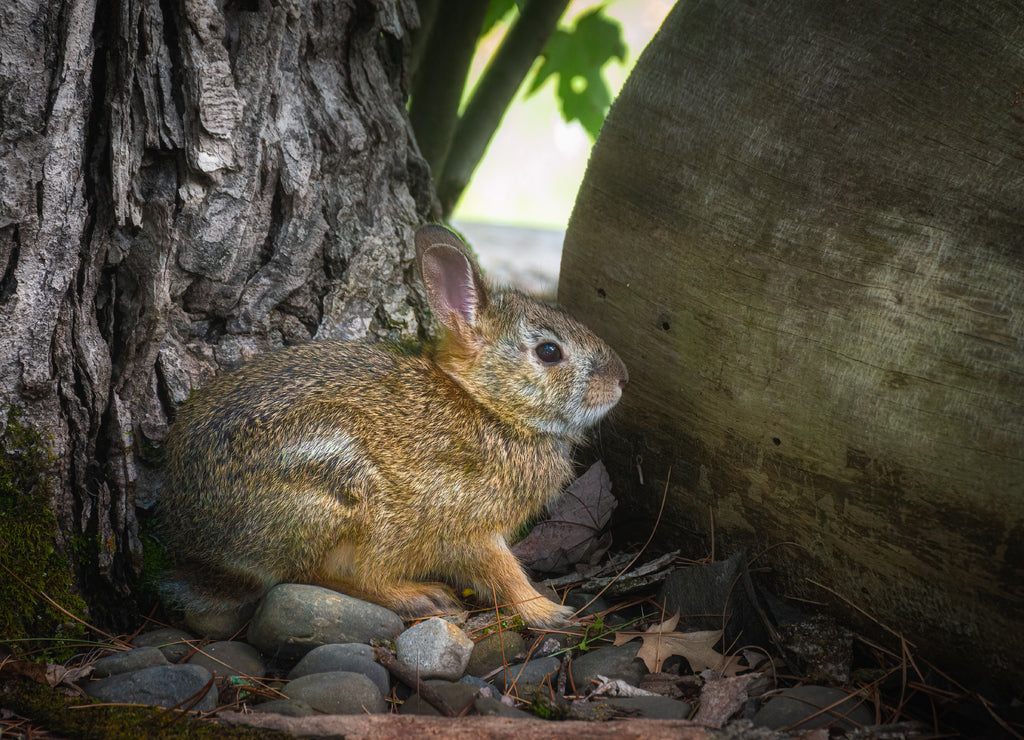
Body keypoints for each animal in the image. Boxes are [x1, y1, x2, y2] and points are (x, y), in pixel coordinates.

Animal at [156, 223, 626, 626]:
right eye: (549, 351)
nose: (621, 379)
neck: (489, 407)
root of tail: (191, 527)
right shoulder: (468, 527)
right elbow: (503, 571)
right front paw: (550, 612)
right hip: (332, 488)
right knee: (314, 577)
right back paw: (418, 596)